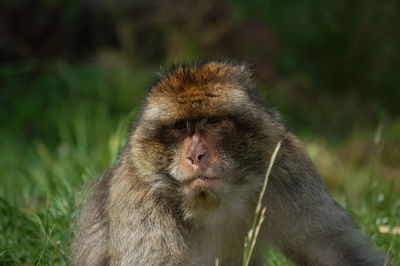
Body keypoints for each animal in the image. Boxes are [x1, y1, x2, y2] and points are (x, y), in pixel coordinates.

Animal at [71, 60, 384, 266]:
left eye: (212, 121)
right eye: (181, 126)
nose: (195, 156)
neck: (213, 204)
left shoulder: (287, 171)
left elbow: (331, 248)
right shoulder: (140, 196)